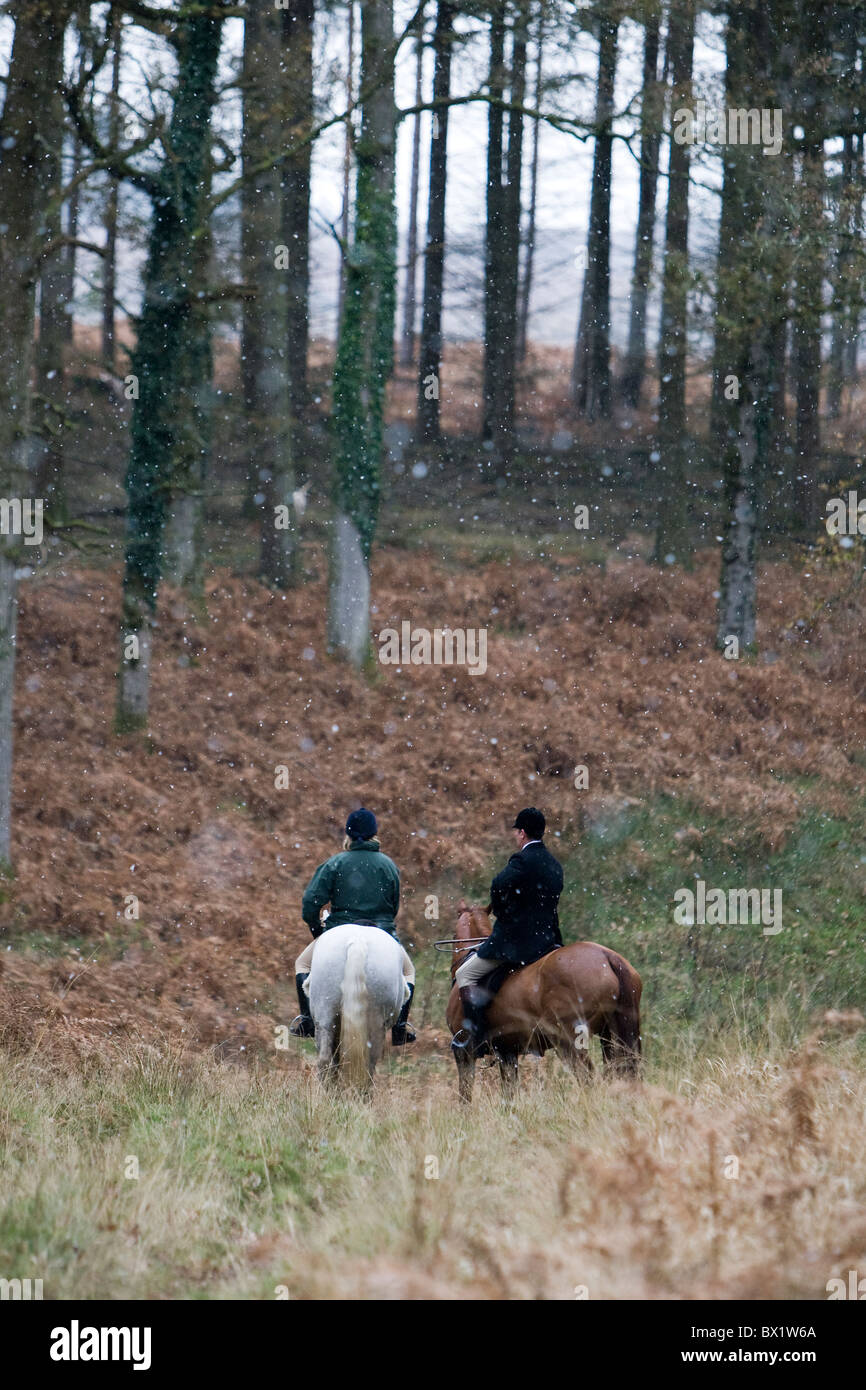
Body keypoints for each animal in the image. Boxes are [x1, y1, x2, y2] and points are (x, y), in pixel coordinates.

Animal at [447, 900, 644, 1106]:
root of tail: (608, 956)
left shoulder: (464, 1051)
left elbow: (465, 1093)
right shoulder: (507, 1052)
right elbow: (509, 1095)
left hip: (569, 1042)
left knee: (588, 1078)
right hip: (611, 1034)